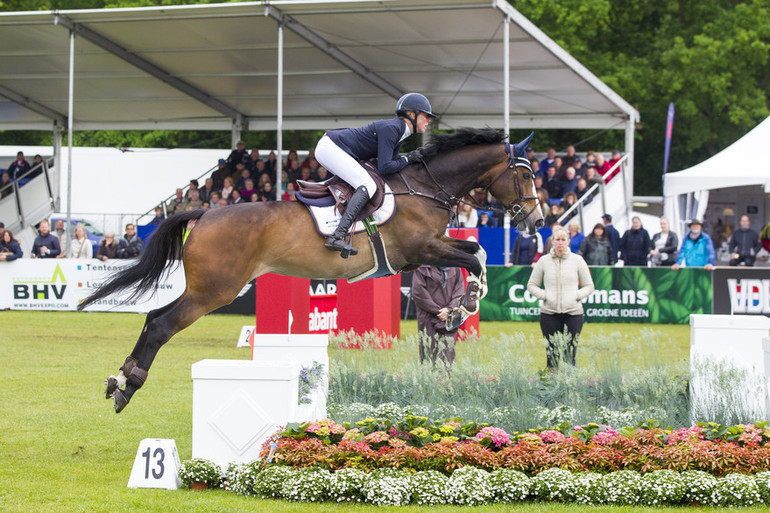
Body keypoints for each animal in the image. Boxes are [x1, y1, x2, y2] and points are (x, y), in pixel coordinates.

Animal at [79, 129, 540, 412]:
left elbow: (475, 249)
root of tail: (205, 213)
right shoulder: (422, 247)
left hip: (206, 289)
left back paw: (121, 378)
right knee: (161, 324)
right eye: (523, 175)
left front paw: (464, 303)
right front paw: (467, 304)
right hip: (215, 291)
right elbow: (475, 256)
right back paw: (129, 387)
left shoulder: (423, 253)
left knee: (154, 317)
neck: (424, 188)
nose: (535, 221)